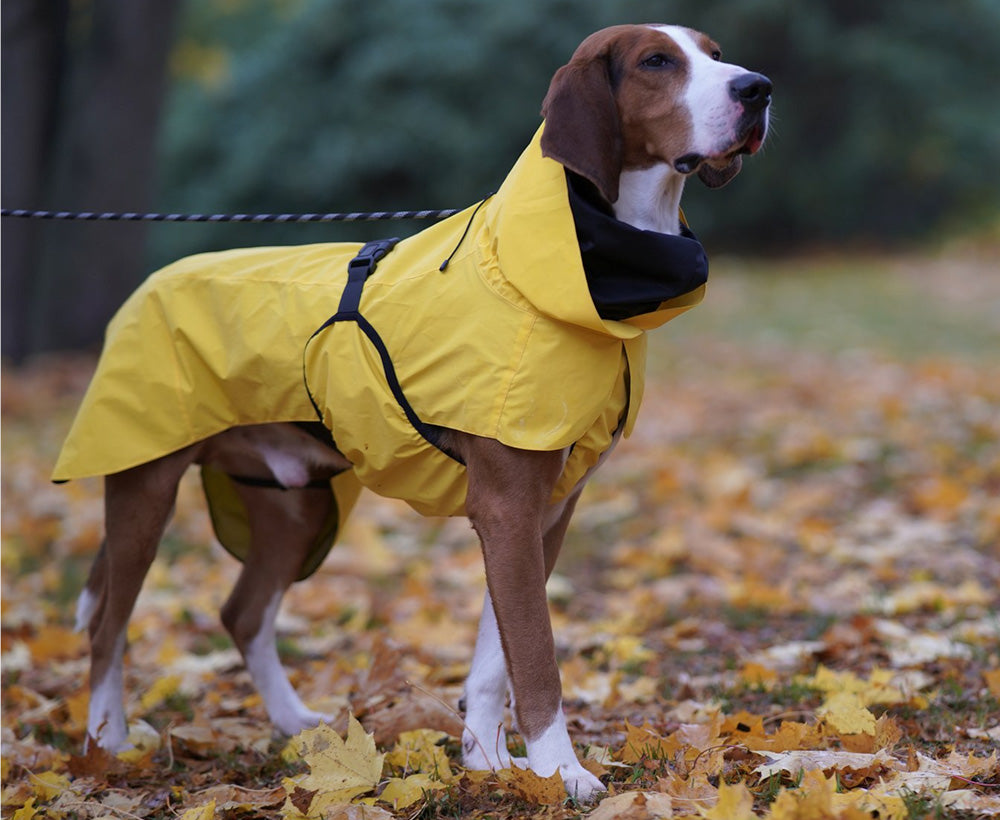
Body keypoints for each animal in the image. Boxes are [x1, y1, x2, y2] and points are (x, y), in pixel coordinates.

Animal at [54, 22, 768, 796]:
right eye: (656, 62)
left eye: (716, 52)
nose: (757, 88)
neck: (581, 266)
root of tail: (153, 281)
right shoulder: (509, 506)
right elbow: (536, 655)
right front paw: (560, 771)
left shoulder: (545, 509)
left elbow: (495, 655)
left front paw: (489, 760)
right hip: (144, 483)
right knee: (108, 623)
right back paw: (107, 741)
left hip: (294, 505)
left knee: (241, 612)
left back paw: (293, 723)